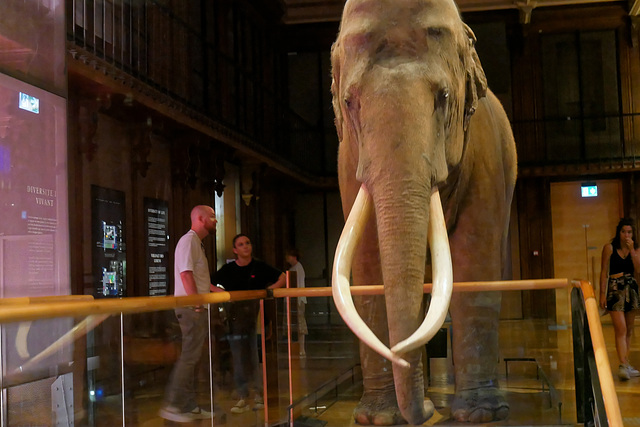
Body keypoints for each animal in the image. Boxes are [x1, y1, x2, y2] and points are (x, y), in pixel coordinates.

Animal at [330, 0, 520, 424]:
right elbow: (366, 268)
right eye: (350, 102)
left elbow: (476, 261)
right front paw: (379, 418)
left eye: (444, 97)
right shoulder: (349, 162)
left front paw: (481, 414)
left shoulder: (483, 151)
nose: (426, 411)